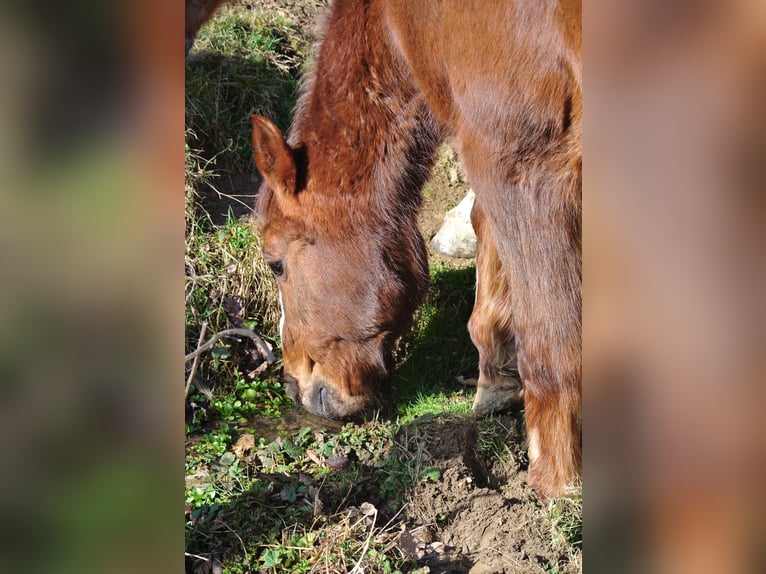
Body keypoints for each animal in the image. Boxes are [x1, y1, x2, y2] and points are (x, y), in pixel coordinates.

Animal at [252, 0, 584, 498]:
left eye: (276, 264)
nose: (296, 388)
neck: (406, 23)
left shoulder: (519, 162)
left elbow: (550, 329)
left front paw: (554, 480)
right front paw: (497, 374)